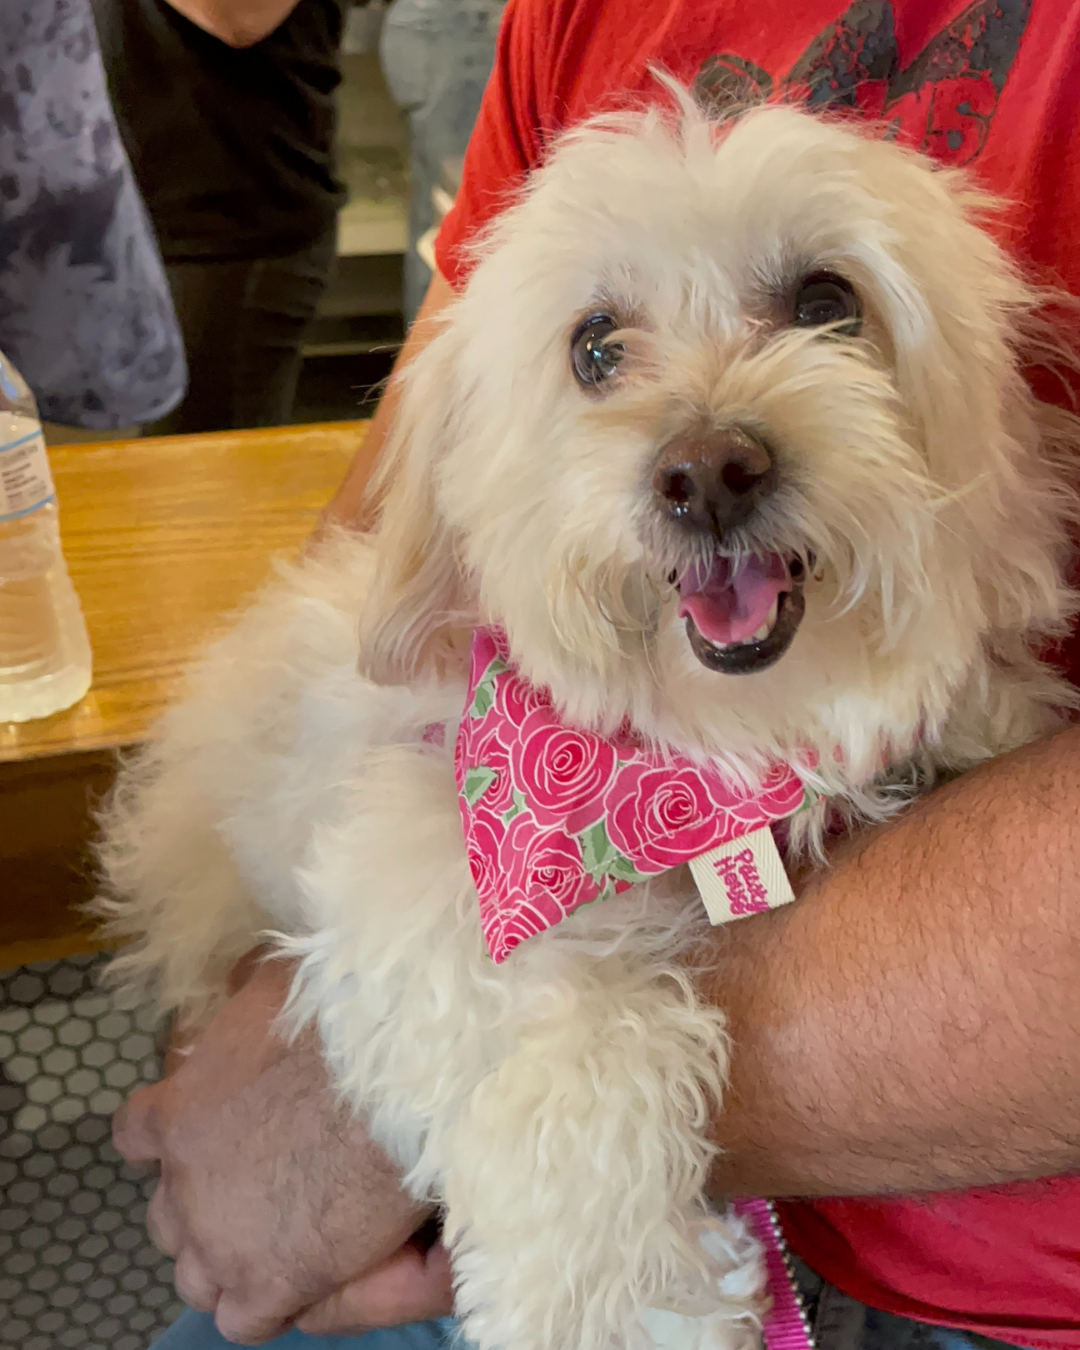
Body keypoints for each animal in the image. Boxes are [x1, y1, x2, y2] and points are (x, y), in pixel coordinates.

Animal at [97, 89, 1074, 1350]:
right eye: (595, 347)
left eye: (828, 302)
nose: (708, 470)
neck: (708, 762)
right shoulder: (427, 857)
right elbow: (568, 1045)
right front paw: (625, 1300)